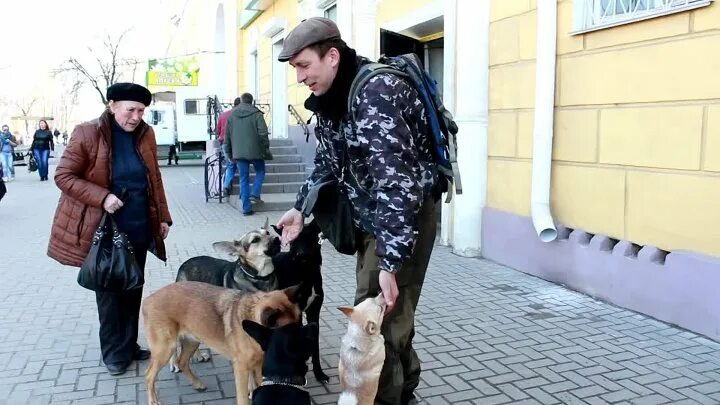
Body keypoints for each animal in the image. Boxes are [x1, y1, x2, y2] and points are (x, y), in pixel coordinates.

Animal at [143, 280, 304, 404]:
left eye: (300, 321)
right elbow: (243, 398)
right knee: (149, 375)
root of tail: (149, 299)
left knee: (182, 362)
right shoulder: (241, 369)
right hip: (165, 350)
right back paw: (153, 400)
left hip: (192, 342)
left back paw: (197, 384)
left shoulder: (258, 366)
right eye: (288, 332)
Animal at [270, 219, 330, 384]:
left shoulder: (314, 312)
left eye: (309, 237)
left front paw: (319, 373)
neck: (306, 271)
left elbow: (315, 346)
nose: (300, 254)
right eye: (292, 241)